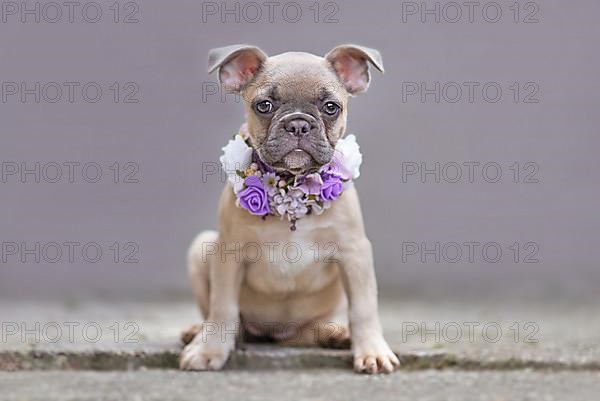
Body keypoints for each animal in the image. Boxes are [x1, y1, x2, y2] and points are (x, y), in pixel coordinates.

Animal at [180, 43, 400, 372]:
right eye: (264, 105)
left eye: (331, 107)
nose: (298, 123)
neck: (292, 186)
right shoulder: (228, 254)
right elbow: (222, 307)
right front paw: (209, 350)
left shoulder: (354, 252)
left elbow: (363, 308)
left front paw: (372, 351)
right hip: (200, 247)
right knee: (222, 316)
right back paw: (198, 331)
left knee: (310, 330)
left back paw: (334, 333)